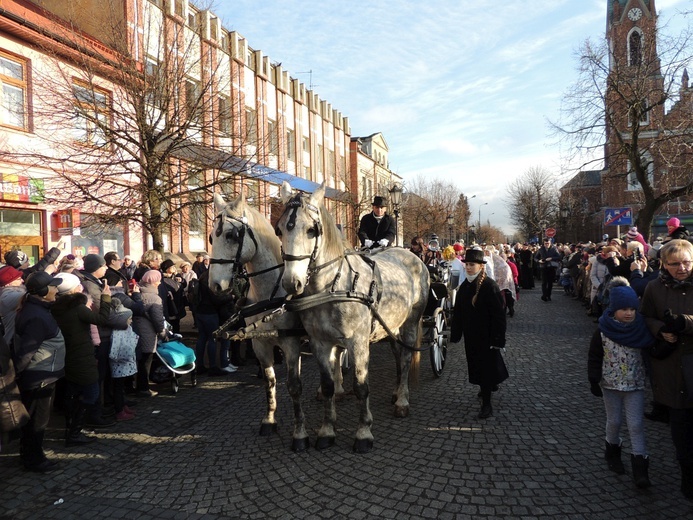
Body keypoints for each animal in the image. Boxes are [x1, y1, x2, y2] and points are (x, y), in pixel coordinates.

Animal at [274, 181, 428, 452]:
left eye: (311, 230)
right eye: (280, 230)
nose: (292, 283)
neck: (333, 286)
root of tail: (413, 256)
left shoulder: (357, 341)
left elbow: (361, 386)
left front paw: (364, 432)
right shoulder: (320, 342)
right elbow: (327, 386)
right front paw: (326, 431)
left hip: (410, 322)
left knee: (407, 356)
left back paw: (402, 400)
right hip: (391, 326)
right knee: (398, 354)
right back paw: (396, 392)